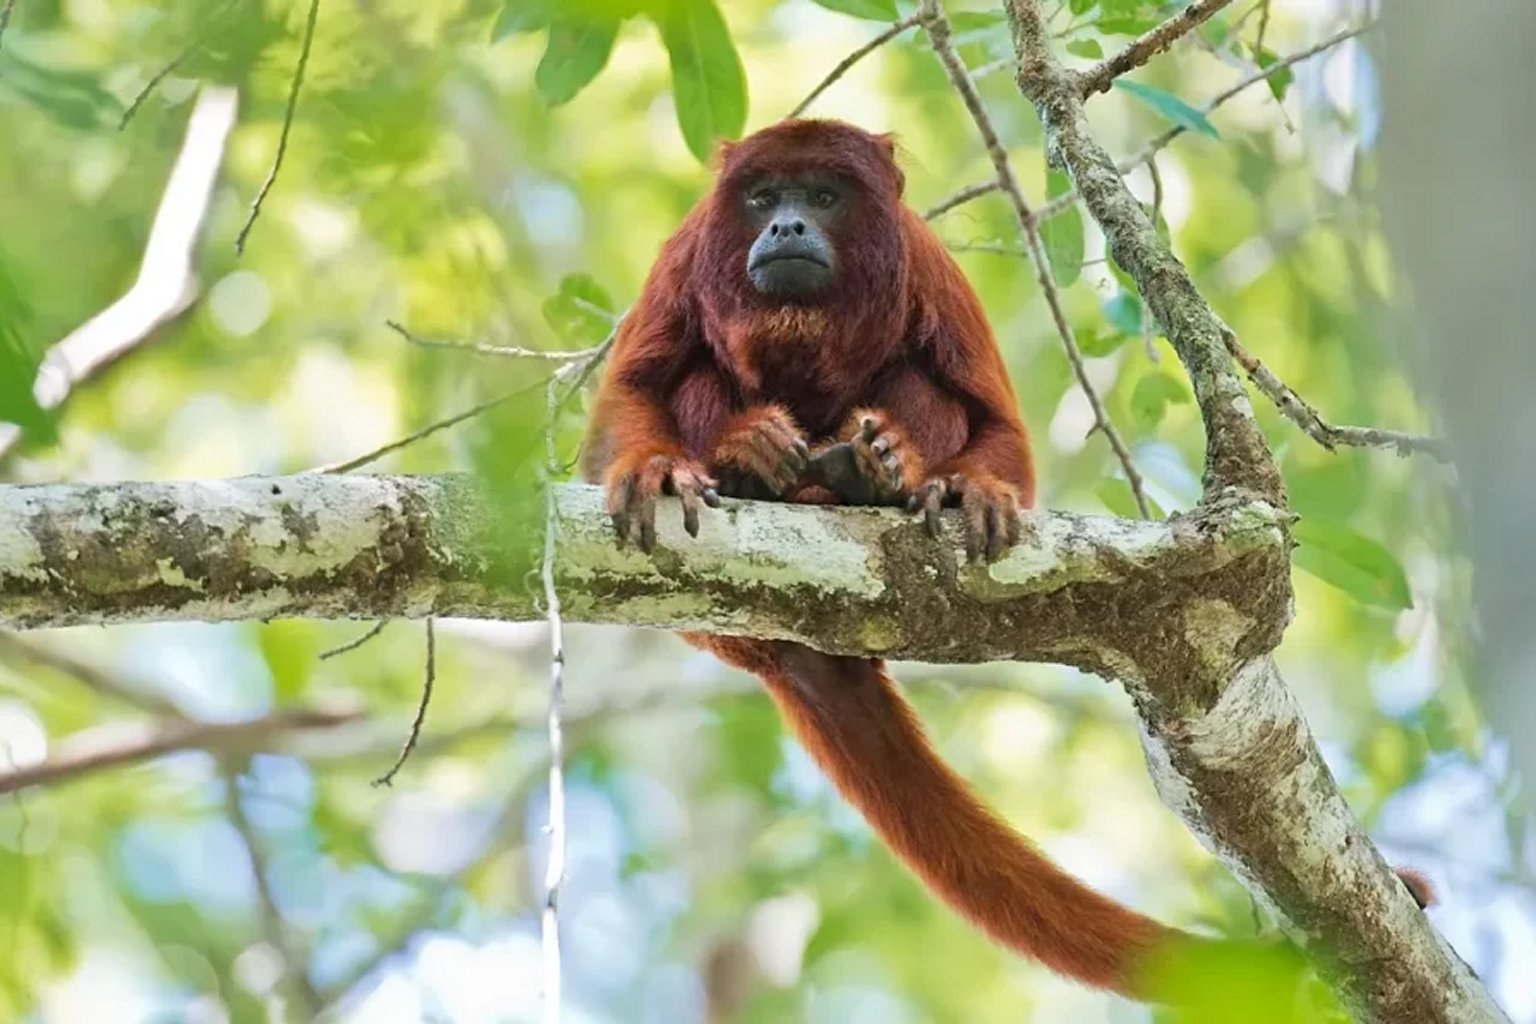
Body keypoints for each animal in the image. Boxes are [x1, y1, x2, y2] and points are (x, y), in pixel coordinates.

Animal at [580, 118, 1431, 1002]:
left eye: (822, 195)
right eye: (760, 198)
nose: (785, 226)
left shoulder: (928, 268)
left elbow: (1000, 432)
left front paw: (975, 489)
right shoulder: (685, 258)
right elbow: (625, 404)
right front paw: (663, 467)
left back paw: (866, 474)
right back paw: (758, 461)